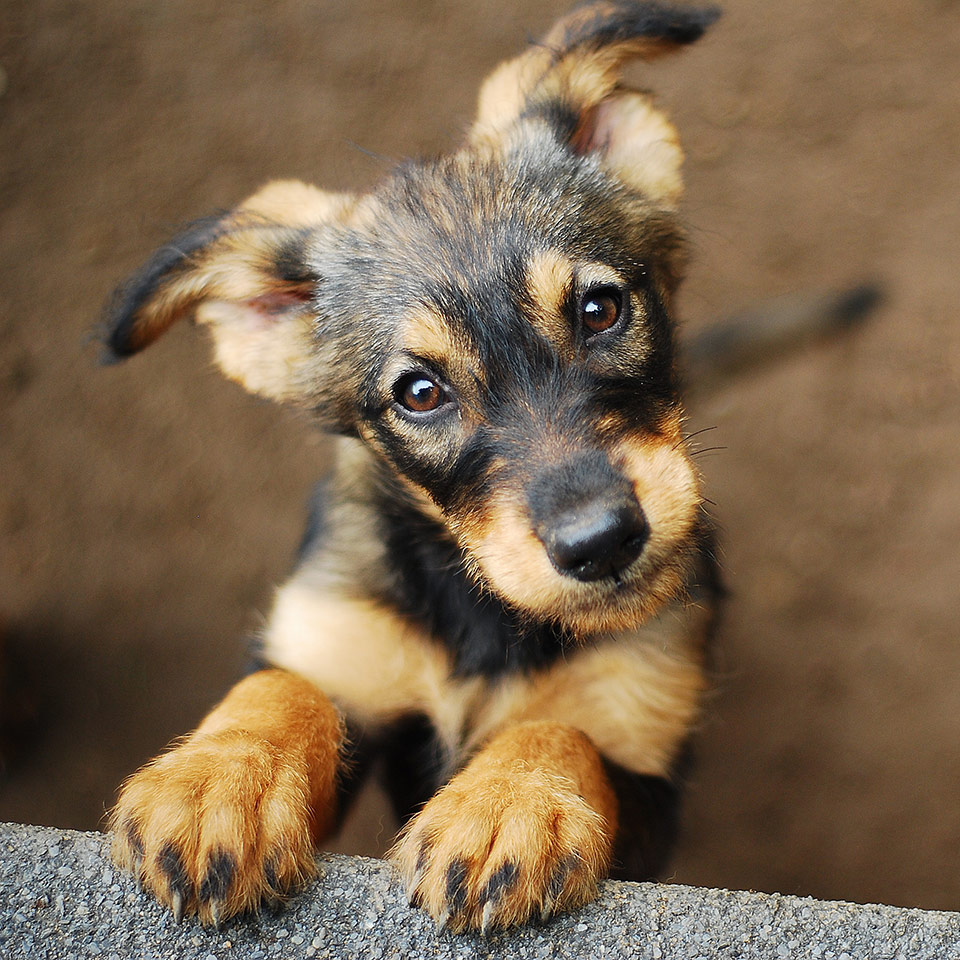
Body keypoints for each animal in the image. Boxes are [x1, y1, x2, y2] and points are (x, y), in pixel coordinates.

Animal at [101, 0, 724, 928]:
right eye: (420, 393)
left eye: (601, 309)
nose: (602, 542)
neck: (486, 616)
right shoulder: (341, 644)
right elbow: (285, 688)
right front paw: (219, 781)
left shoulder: (647, 771)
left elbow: (561, 729)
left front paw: (507, 804)